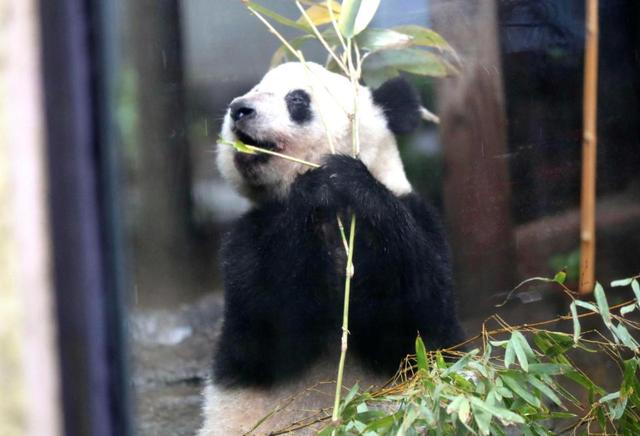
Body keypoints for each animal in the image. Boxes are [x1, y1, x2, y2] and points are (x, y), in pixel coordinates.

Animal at [198, 62, 462, 436]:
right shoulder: (246, 236)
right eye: (252, 89)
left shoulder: (421, 219)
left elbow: (420, 320)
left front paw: (344, 177)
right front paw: (312, 189)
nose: (240, 109)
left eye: (297, 99)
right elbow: (265, 323)